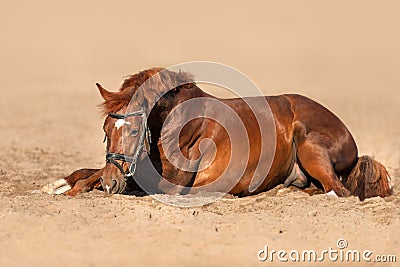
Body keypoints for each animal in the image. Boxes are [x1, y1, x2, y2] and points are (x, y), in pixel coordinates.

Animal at [42, 68, 392, 201]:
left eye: (133, 129)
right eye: (105, 131)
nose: (112, 182)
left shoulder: (171, 186)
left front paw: (75, 188)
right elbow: (88, 171)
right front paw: (59, 184)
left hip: (311, 147)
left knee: (338, 190)